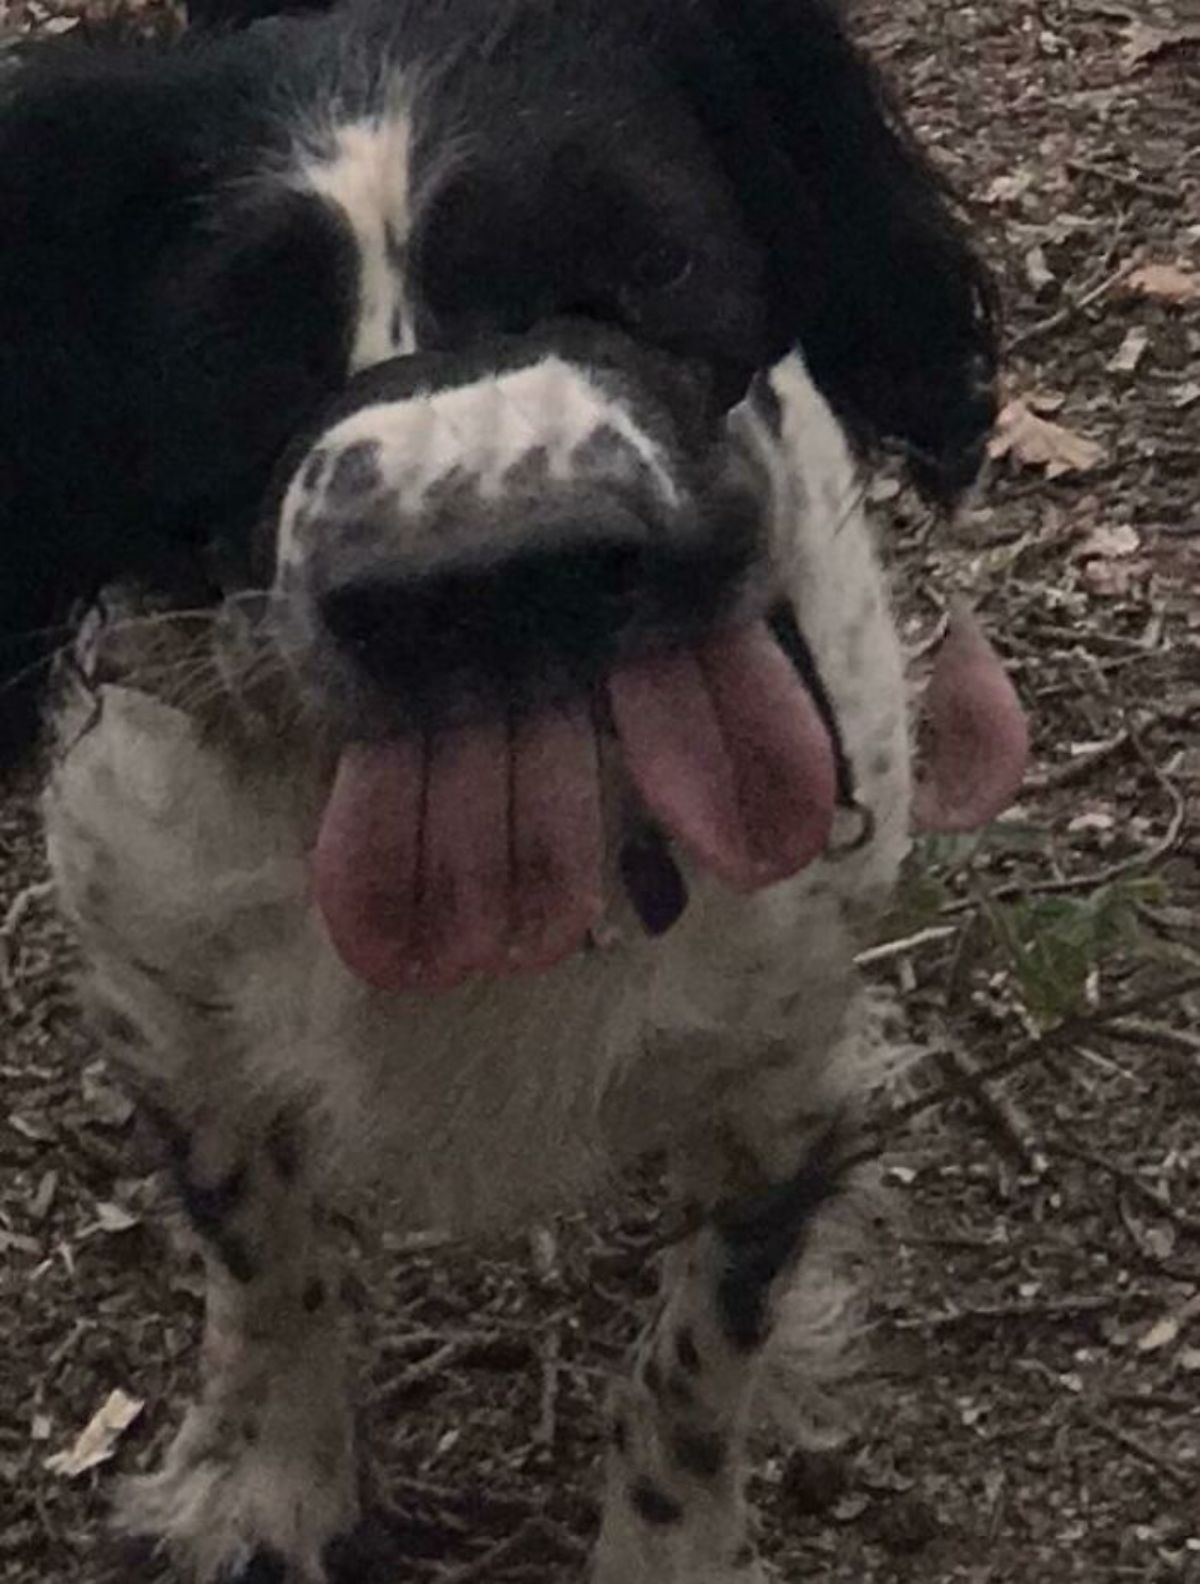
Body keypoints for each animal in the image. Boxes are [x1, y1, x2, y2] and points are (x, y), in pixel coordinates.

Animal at [2, 6, 1032, 1577]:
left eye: (649, 263)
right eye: (235, 352)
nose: (486, 581)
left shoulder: (785, 1067)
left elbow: (693, 1362)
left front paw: (667, 1544)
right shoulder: (167, 1005)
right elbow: (263, 1256)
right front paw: (266, 1484)